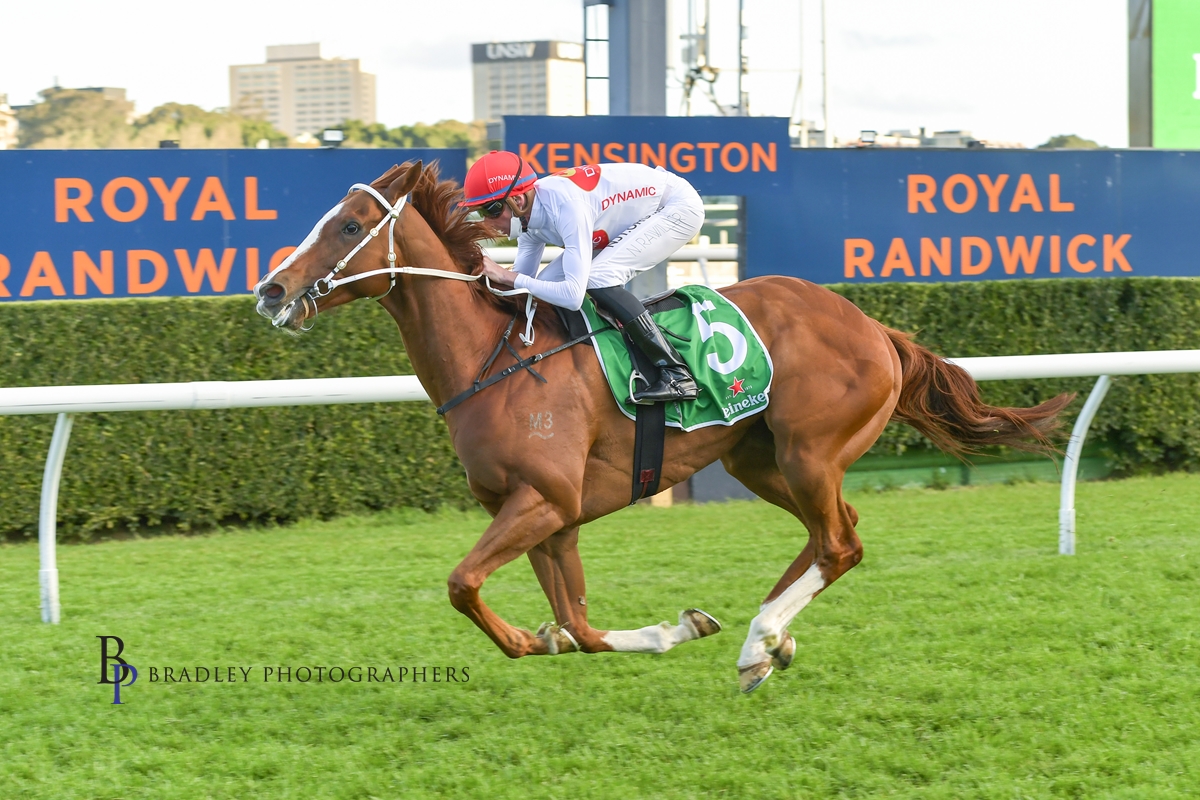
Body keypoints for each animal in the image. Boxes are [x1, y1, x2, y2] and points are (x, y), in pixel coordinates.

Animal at [254, 161, 1072, 693]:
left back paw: (758, 640)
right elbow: (579, 628)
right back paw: (769, 641)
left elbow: (463, 585)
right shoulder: (550, 517)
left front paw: (525, 637)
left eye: (349, 225)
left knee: (839, 542)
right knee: (833, 536)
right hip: (758, 459)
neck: (500, 362)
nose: (271, 290)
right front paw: (662, 629)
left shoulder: (543, 501)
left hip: (809, 451)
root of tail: (873, 325)